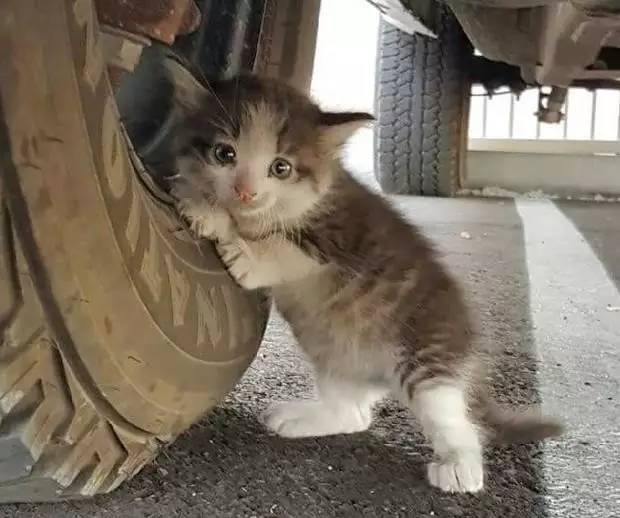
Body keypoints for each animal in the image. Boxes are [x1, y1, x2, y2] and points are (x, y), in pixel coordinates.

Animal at [163, 60, 560, 496]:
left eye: (280, 167)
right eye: (224, 154)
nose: (245, 191)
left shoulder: (344, 236)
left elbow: (282, 246)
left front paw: (233, 236)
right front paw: (202, 201)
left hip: (426, 356)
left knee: (452, 416)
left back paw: (460, 465)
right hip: (335, 358)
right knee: (354, 415)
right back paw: (302, 418)